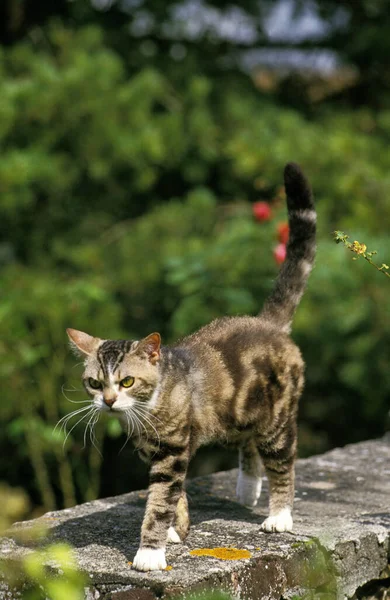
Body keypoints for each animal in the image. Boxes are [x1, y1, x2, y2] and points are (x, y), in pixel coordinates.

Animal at [66, 163, 316, 572]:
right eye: (94, 382)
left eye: (127, 381)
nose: (108, 401)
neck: (145, 412)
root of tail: (267, 323)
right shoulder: (152, 451)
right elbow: (174, 495)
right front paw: (175, 529)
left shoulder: (173, 449)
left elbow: (160, 500)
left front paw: (150, 552)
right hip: (235, 413)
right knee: (247, 443)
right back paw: (248, 488)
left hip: (277, 417)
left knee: (281, 462)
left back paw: (278, 515)